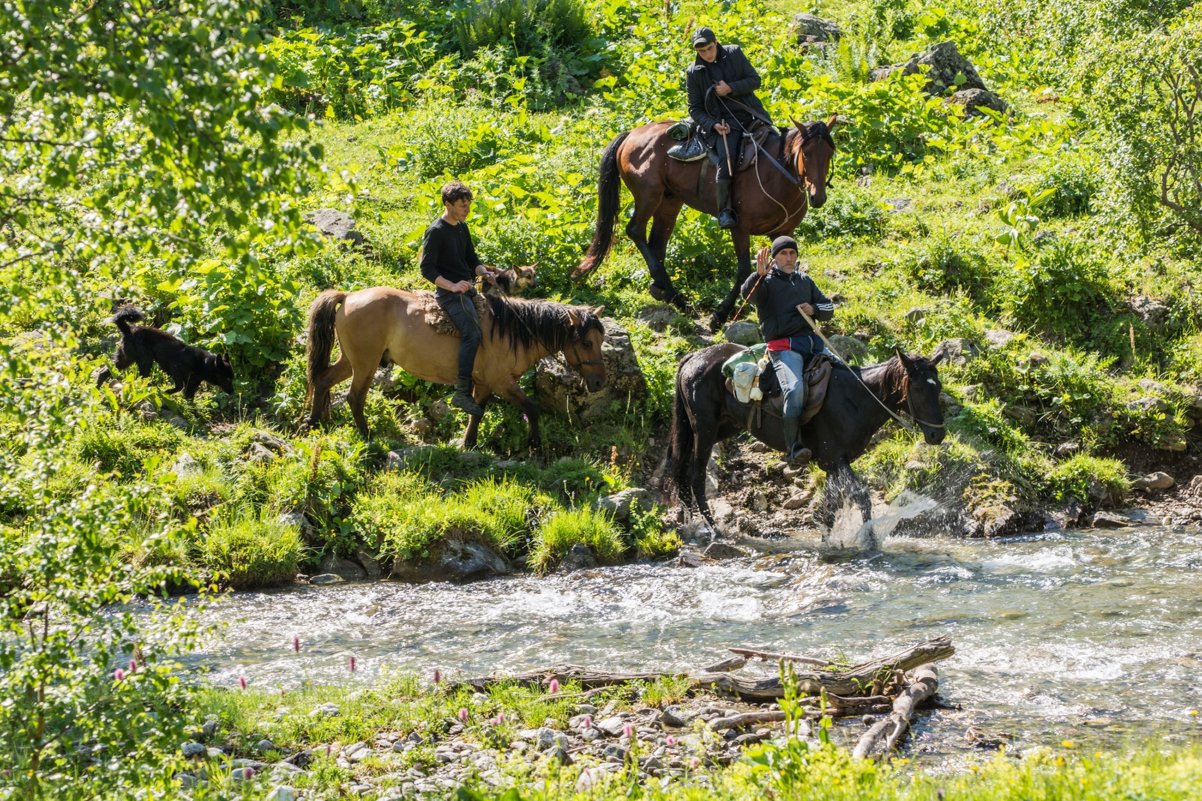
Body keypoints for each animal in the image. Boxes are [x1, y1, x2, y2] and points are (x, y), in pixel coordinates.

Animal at [98, 304, 234, 396]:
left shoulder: (193, 383)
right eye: (227, 379)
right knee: (142, 378)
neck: (203, 363)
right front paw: (167, 392)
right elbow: (179, 386)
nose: (233, 392)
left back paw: (97, 388)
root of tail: (129, 329)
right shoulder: (175, 368)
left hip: (125, 359)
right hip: (145, 361)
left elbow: (188, 397)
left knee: (103, 372)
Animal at [305, 288, 605, 449]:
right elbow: (531, 407)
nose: (600, 383)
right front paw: (534, 443)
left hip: (351, 361)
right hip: (365, 363)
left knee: (323, 381)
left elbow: (477, 412)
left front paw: (469, 443)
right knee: (355, 397)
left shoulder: (484, 383)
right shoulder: (501, 381)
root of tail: (348, 296)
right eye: (587, 342)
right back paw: (367, 435)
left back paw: (314, 422)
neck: (511, 331)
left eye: (601, 340)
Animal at [572, 115, 836, 329]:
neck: (775, 175)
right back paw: (675, 297)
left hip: (670, 202)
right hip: (649, 196)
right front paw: (719, 316)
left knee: (657, 242)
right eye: (806, 153)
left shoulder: (784, 232)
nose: (818, 197)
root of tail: (631, 134)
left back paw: (666, 292)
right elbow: (744, 270)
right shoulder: (739, 228)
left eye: (830, 154)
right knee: (635, 230)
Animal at [663, 341, 942, 524]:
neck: (855, 398)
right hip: (705, 429)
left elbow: (830, 507)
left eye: (937, 386)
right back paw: (712, 529)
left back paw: (690, 523)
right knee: (696, 475)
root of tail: (694, 357)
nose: (937, 435)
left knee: (683, 470)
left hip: (721, 427)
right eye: (917, 388)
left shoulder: (831, 465)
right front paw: (868, 542)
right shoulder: (836, 459)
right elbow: (861, 498)